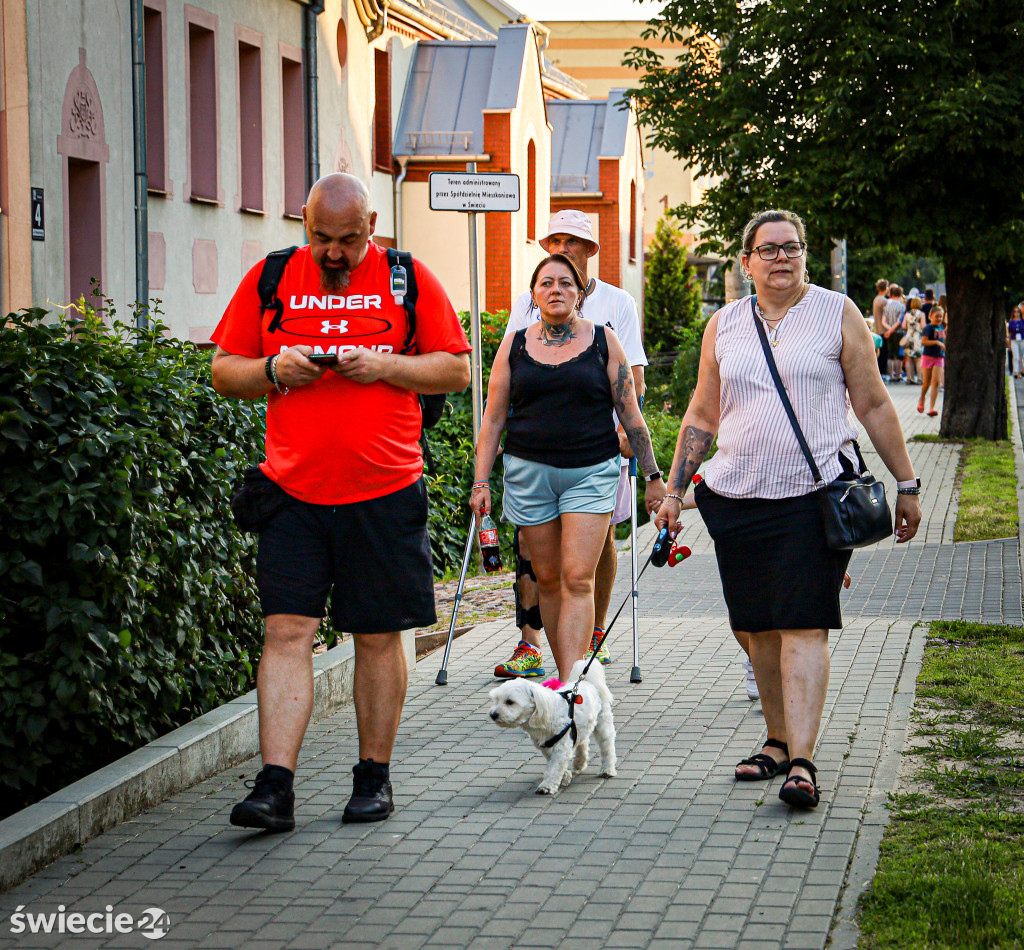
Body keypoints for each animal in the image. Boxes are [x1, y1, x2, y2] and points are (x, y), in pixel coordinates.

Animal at [487, 659, 614, 794]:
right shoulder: (546, 745)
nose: (493, 714)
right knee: (583, 742)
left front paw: (547, 785)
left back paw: (607, 770)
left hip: (603, 724)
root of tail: (588, 682)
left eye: (510, 702)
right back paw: (579, 763)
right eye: (496, 700)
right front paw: (565, 775)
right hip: (581, 728)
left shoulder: (561, 745)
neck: (545, 714)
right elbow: (553, 762)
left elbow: (555, 766)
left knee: (607, 747)